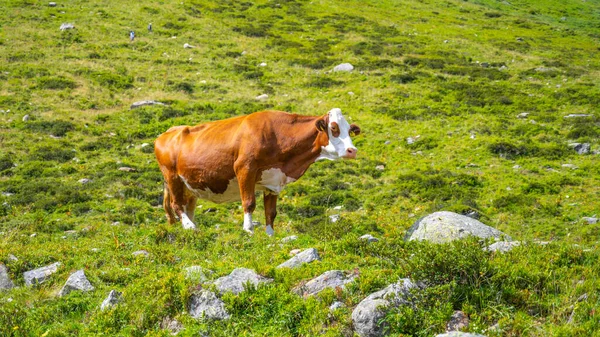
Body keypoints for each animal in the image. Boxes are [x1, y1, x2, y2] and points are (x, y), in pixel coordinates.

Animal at [155, 107, 360, 234]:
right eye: (333, 127)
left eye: (350, 130)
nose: (352, 150)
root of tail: (167, 132)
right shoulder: (245, 169)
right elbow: (249, 203)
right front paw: (248, 229)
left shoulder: (273, 181)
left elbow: (271, 212)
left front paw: (270, 234)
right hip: (172, 177)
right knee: (175, 204)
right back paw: (190, 227)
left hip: (190, 186)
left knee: (186, 208)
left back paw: (187, 227)